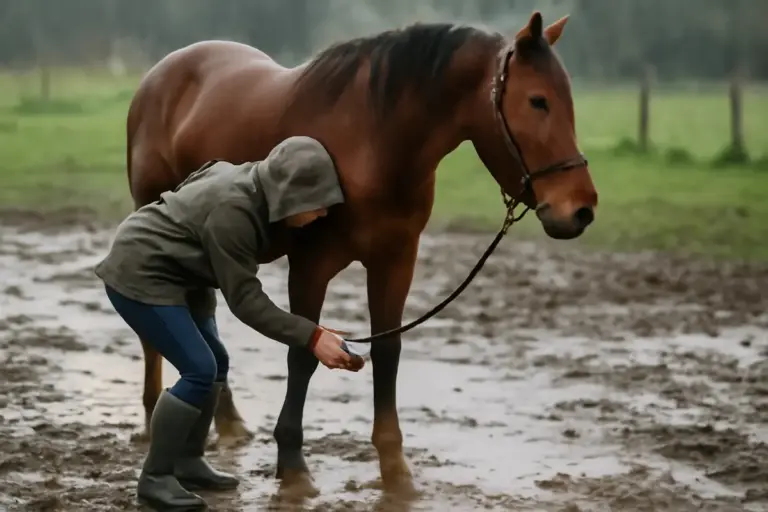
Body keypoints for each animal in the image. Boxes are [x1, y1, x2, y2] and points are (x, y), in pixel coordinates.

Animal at [125, 11, 597, 496]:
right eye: (538, 101)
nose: (580, 209)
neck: (372, 143)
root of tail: (163, 73)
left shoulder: (395, 261)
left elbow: (388, 352)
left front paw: (395, 469)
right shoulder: (311, 266)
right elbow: (303, 354)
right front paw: (293, 467)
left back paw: (229, 421)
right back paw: (153, 412)